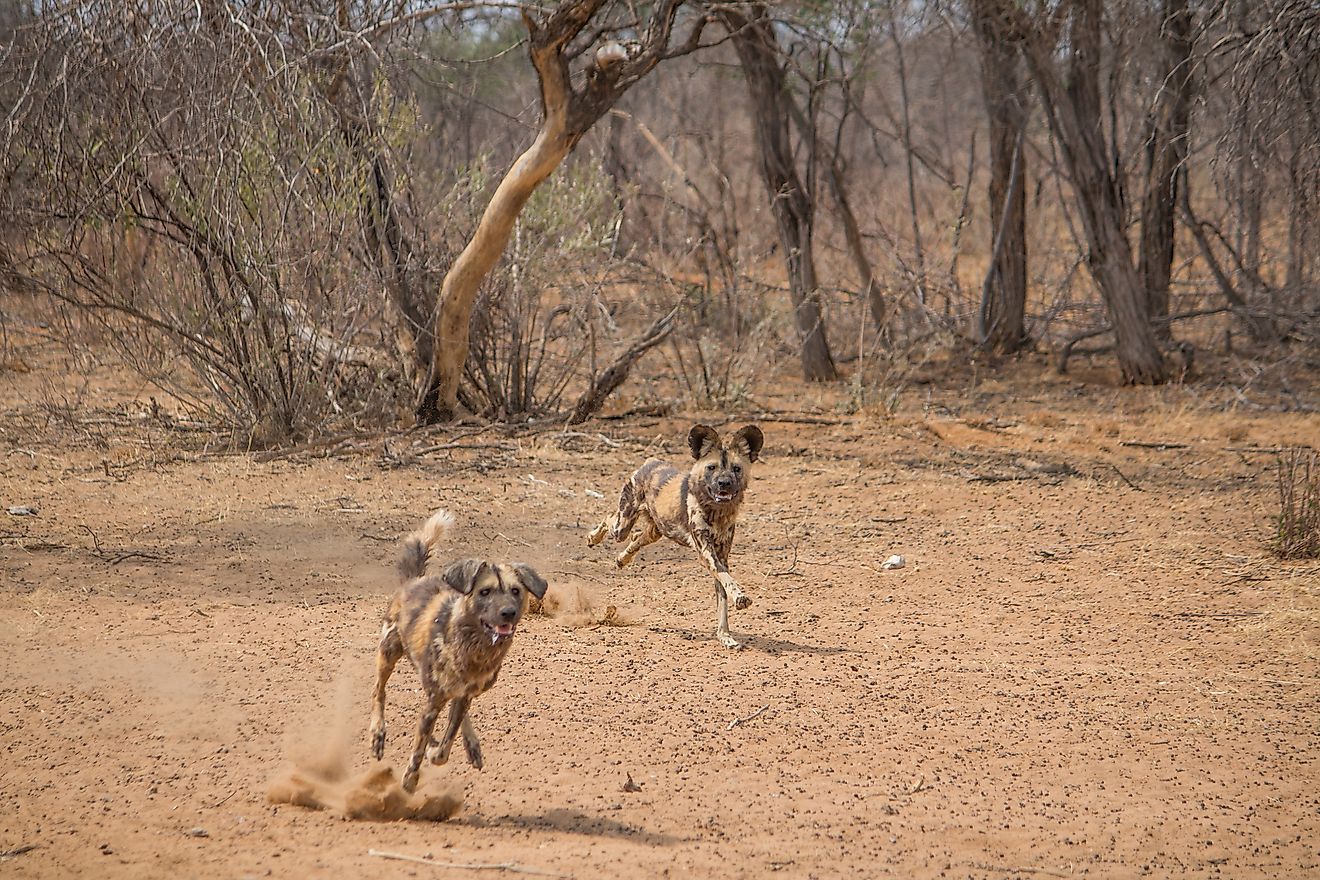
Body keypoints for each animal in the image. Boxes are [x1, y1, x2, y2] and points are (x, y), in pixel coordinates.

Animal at [366, 509, 546, 791]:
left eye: (516, 591)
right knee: (378, 691)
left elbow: (443, 748)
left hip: (467, 690)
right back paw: (378, 734)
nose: (508, 612)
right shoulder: (433, 702)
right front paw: (410, 779)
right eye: (485, 592)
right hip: (388, 653)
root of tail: (414, 581)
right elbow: (420, 749)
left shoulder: (462, 695)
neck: (475, 650)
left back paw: (469, 746)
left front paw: (435, 749)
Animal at [588, 422, 765, 651]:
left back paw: (622, 559)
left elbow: (723, 596)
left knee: (637, 537)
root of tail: (651, 462)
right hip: (622, 525)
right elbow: (727, 579)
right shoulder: (707, 554)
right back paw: (593, 538)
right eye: (712, 468)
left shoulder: (721, 556)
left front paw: (725, 636)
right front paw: (740, 598)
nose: (724, 483)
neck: (717, 511)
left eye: (736, 469)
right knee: (610, 519)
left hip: (655, 531)